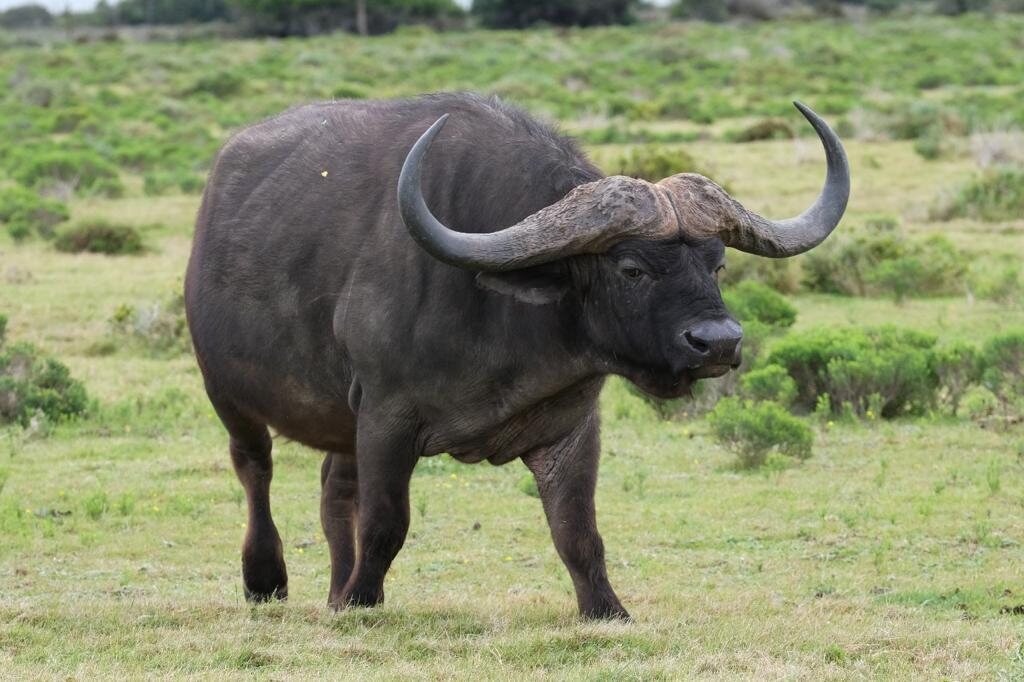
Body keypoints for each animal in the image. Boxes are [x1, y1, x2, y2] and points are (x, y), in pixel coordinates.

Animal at [185, 92, 849, 620]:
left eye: (717, 264)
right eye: (631, 268)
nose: (719, 342)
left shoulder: (572, 425)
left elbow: (578, 531)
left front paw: (607, 609)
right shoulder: (386, 417)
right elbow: (386, 521)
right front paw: (361, 603)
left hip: (341, 423)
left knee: (332, 491)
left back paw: (332, 589)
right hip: (228, 394)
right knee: (256, 469)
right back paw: (267, 580)